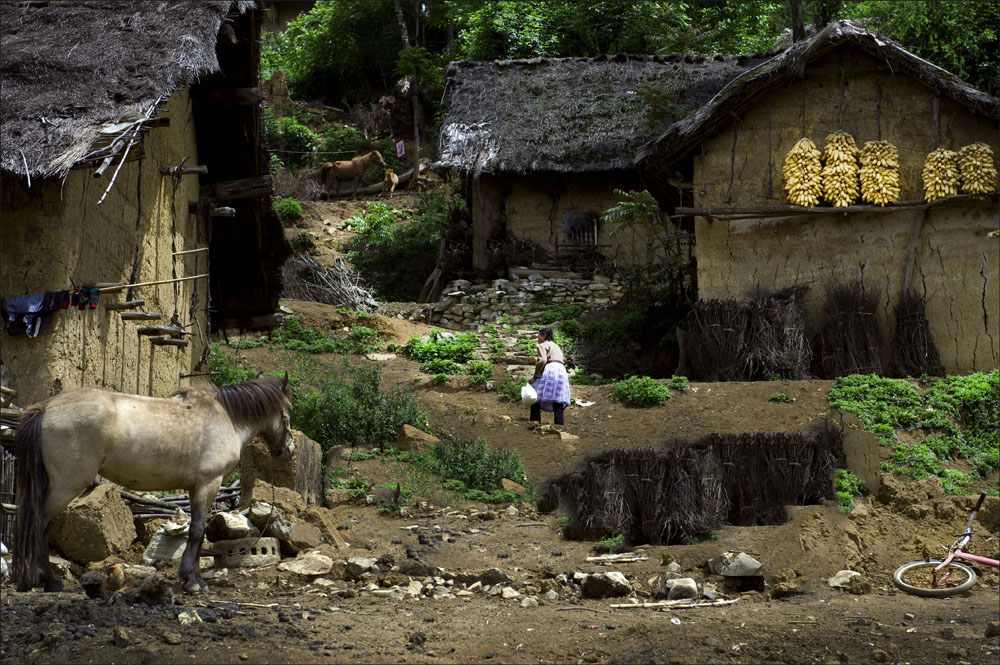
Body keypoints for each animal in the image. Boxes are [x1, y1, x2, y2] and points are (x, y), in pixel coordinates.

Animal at [14, 370, 292, 592]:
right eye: (288, 408)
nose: (288, 450)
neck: (227, 418)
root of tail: (46, 407)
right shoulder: (208, 484)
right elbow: (198, 531)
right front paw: (193, 581)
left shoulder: (195, 488)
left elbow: (195, 531)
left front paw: (189, 576)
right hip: (66, 486)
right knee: (38, 524)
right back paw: (47, 580)